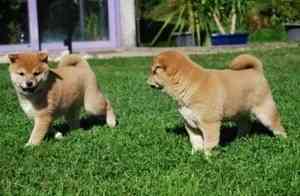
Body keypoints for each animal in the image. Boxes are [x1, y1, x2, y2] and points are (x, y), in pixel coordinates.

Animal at [148, 50, 286, 155]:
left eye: (154, 71)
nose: (147, 80)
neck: (188, 83)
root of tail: (256, 71)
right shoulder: (190, 123)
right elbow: (196, 141)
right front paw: (194, 155)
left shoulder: (210, 123)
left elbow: (209, 142)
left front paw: (207, 157)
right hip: (239, 112)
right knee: (245, 124)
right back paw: (239, 139)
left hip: (265, 111)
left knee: (277, 126)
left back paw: (283, 141)